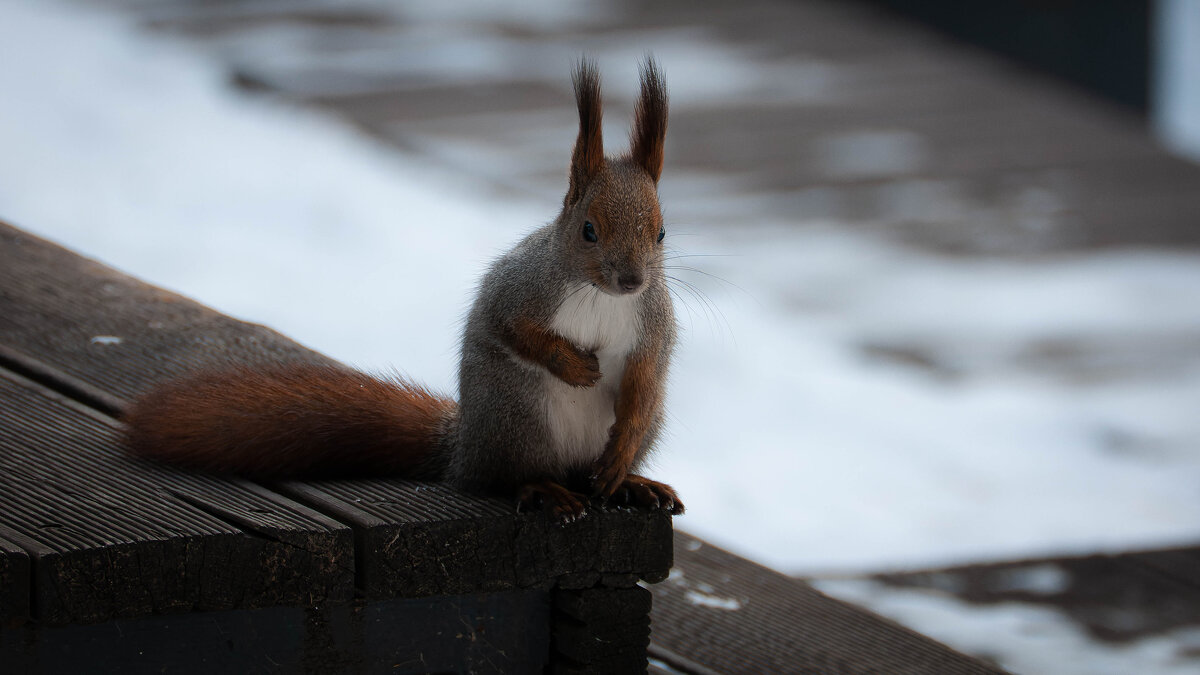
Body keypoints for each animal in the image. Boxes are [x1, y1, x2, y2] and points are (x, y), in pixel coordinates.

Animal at [124, 59, 686, 521]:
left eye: (661, 233)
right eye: (589, 230)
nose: (632, 280)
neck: (602, 297)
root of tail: (463, 450)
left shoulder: (652, 328)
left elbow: (644, 379)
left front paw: (621, 450)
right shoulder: (522, 288)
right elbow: (513, 329)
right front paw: (574, 366)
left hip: (630, 425)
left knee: (606, 456)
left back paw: (630, 483)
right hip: (516, 415)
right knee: (503, 479)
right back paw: (543, 490)